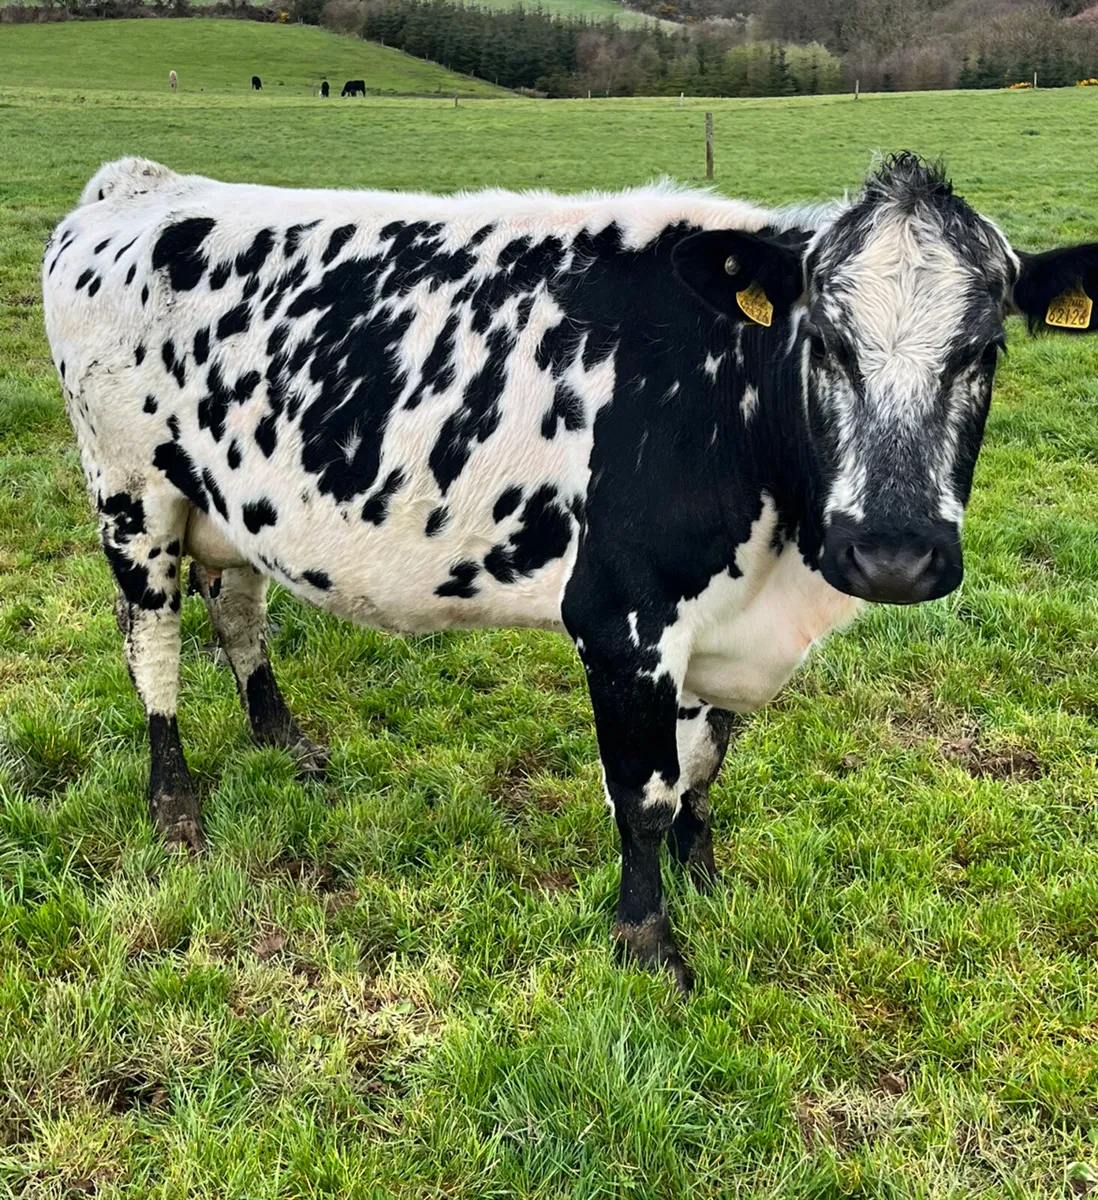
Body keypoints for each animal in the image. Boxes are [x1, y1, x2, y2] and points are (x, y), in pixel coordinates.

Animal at [41, 153, 1098, 991]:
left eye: (984, 349)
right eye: (827, 343)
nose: (893, 554)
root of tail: (140, 185)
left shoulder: (718, 632)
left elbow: (705, 765)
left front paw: (702, 871)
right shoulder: (621, 621)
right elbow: (645, 790)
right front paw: (647, 939)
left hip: (229, 504)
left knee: (239, 612)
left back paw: (281, 735)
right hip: (130, 494)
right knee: (153, 645)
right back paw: (174, 801)